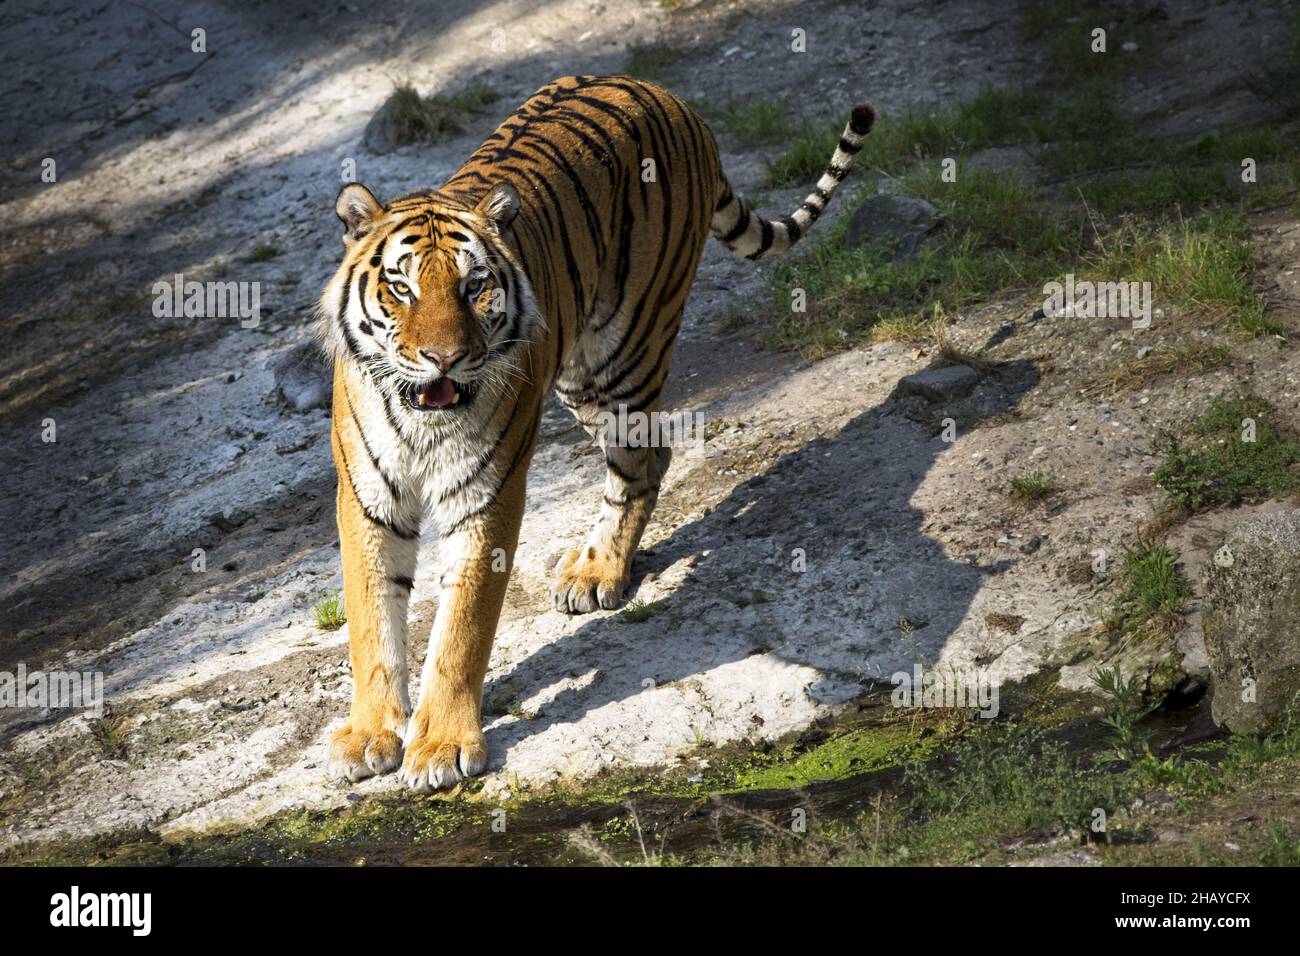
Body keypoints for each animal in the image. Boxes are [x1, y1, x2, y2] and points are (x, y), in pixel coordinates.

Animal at [319, 74, 878, 790]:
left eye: (474, 288)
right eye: (403, 290)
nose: (445, 358)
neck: (422, 421)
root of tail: (666, 92)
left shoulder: (488, 495)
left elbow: (461, 625)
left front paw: (440, 745)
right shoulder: (367, 498)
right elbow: (371, 620)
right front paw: (370, 735)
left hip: (625, 354)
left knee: (643, 458)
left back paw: (598, 571)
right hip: (585, 378)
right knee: (650, 455)